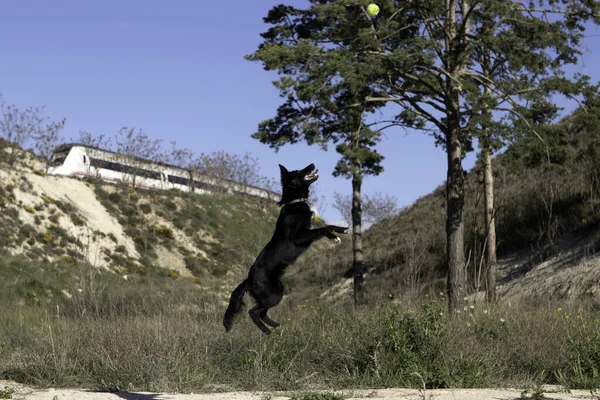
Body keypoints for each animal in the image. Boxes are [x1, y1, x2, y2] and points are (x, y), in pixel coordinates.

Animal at [224, 162, 346, 334]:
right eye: (299, 171)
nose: (312, 164)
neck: (295, 202)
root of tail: (248, 279)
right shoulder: (299, 236)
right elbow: (322, 229)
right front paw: (334, 238)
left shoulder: (309, 231)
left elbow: (328, 226)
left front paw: (342, 230)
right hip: (273, 294)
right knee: (253, 312)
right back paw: (266, 330)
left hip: (277, 291)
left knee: (262, 312)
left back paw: (274, 325)